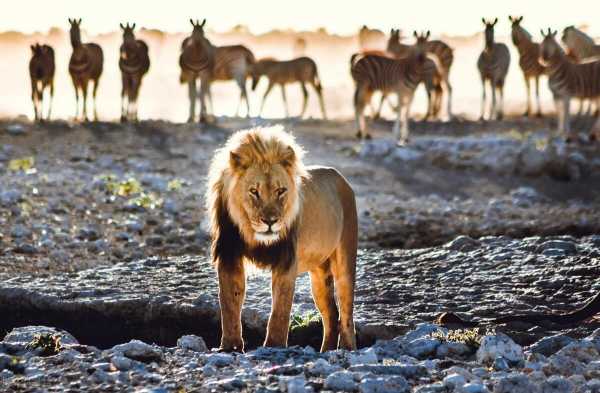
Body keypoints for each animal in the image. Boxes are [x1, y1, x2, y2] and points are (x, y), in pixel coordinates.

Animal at [207, 124, 356, 350]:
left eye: (280, 191)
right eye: (254, 191)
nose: (270, 221)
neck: (253, 234)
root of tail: (341, 178)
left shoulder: (286, 261)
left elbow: (280, 309)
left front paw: (273, 345)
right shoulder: (229, 255)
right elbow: (229, 304)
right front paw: (230, 346)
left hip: (345, 260)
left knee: (346, 312)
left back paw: (347, 348)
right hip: (319, 275)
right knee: (331, 314)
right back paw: (326, 351)